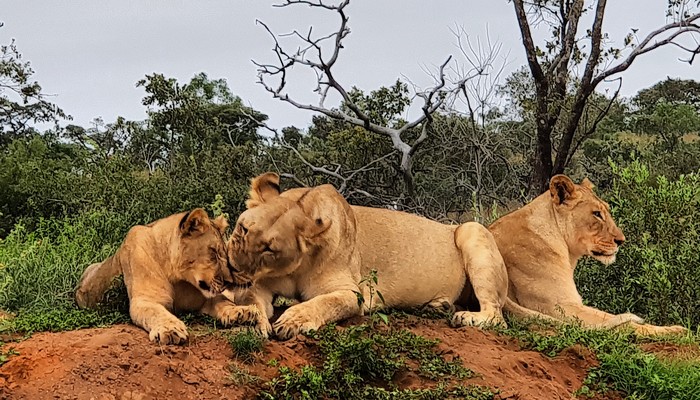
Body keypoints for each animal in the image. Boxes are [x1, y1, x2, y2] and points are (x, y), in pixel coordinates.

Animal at [75, 209, 260, 344]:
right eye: (213, 251)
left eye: (224, 254)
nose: (229, 282)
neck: (177, 278)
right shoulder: (145, 299)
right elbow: (156, 311)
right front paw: (170, 330)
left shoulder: (204, 300)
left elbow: (224, 302)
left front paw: (242, 312)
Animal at [230, 173, 508, 340]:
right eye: (243, 228)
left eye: (269, 249)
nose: (234, 268)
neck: (295, 268)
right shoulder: (261, 284)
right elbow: (253, 299)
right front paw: (249, 321)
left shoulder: (354, 293)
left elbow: (324, 302)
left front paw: (294, 319)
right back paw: (439, 306)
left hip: (473, 230)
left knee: (497, 316)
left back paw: (466, 316)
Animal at [490, 174, 688, 334]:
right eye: (597, 214)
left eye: (606, 210)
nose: (621, 240)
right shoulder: (558, 305)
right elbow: (620, 322)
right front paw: (674, 331)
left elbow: (610, 316)